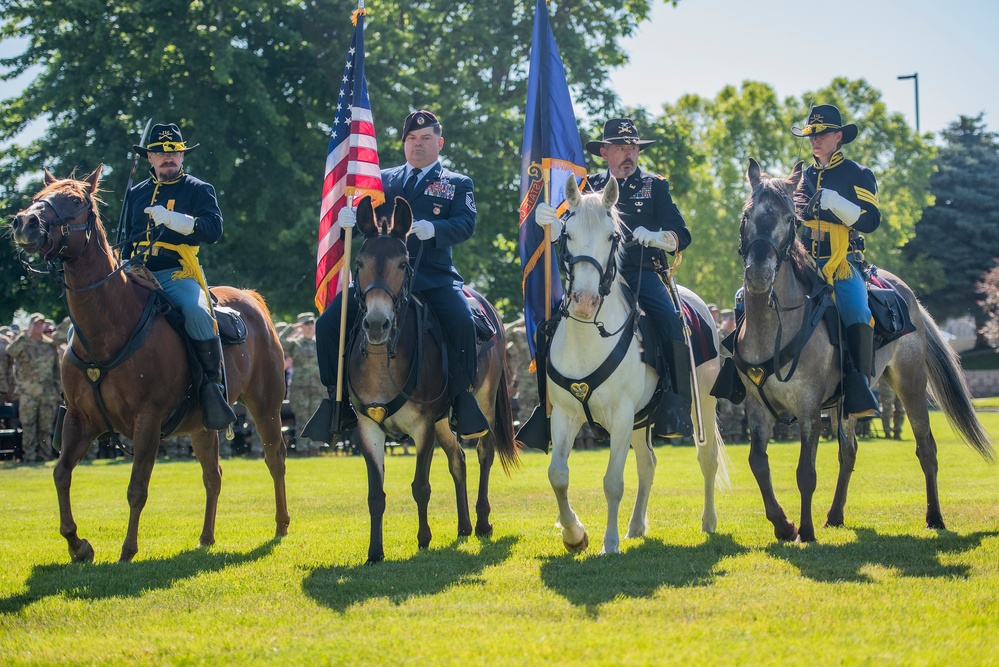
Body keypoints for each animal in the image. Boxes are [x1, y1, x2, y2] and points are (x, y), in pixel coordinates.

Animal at [8, 164, 290, 560]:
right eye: (37, 197)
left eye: (75, 200)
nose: (25, 223)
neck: (107, 328)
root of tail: (250, 299)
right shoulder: (80, 421)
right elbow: (60, 474)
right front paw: (78, 545)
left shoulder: (148, 422)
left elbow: (136, 487)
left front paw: (127, 550)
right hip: (204, 423)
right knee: (213, 475)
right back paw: (206, 536)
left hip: (266, 405)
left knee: (275, 458)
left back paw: (280, 525)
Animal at [348, 193, 520, 564]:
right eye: (359, 262)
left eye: (403, 264)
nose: (377, 324)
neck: (384, 360)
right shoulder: (368, 427)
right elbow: (375, 494)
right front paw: (374, 552)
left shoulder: (423, 426)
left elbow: (420, 486)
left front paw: (424, 539)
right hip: (444, 420)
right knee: (458, 459)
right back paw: (464, 525)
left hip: (482, 404)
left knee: (484, 453)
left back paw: (482, 521)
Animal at [544, 175, 732, 556]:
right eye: (568, 233)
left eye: (612, 236)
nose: (585, 301)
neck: (589, 338)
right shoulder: (565, 414)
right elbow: (558, 475)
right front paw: (574, 534)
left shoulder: (620, 415)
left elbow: (613, 481)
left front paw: (609, 543)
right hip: (640, 419)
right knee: (648, 465)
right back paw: (635, 526)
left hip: (702, 403)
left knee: (706, 459)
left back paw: (708, 521)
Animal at [732, 158, 996, 544]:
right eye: (747, 214)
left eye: (790, 218)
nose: (758, 274)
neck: (776, 327)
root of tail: (907, 295)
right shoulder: (757, 406)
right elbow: (758, 463)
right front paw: (783, 524)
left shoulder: (809, 408)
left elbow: (805, 471)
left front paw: (805, 531)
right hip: (849, 403)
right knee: (849, 452)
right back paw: (835, 515)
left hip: (910, 383)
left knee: (926, 448)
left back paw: (934, 517)